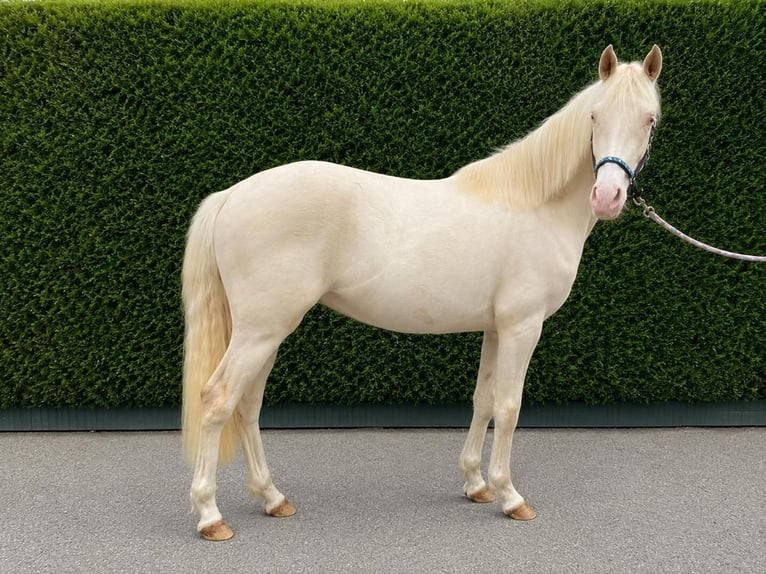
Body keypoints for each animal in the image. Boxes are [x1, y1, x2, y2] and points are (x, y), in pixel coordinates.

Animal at [181, 44, 663, 541]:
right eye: (595, 116)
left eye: (650, 119)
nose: (607, 197)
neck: (534, 205)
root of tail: (231, 195)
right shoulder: (522, 327)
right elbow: (509, 406)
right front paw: (510, 496)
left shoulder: (497, 328)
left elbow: (483, 400)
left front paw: (476, 484)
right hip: (260, 331)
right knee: (218, 400)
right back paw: (211, 516)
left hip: (265, 332)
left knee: (247, 404)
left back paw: (273, 498)